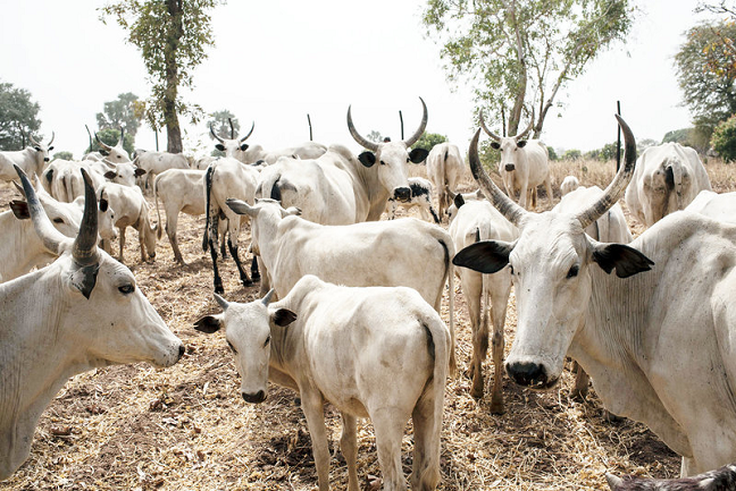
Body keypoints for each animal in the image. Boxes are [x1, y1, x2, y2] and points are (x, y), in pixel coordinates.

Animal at [193, 275, 451, 491]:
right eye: (231, 344)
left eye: (266, 339)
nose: (252, 394)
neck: (295, 326)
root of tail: (419, 312)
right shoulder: (345, 398)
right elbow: (348, 445)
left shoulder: (310, 398)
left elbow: (321, 455)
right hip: (425, 408)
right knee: (421, 475)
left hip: (386, 419)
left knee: (396, 481)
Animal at [203, 158, 260, 293]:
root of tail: (215, 164)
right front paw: (255, 272)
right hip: (233, 216)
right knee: (232, 245)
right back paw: (245, 278)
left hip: (212, 212)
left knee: (213, 245)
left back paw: (218, 284)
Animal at [448, 192, 516, 412]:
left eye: (448, 212)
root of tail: (485, 223)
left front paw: (471, 368)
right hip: (502, 286)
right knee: (497, 338)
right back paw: (497, 401)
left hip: (471, 285)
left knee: (477, 332)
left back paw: (476, 388)